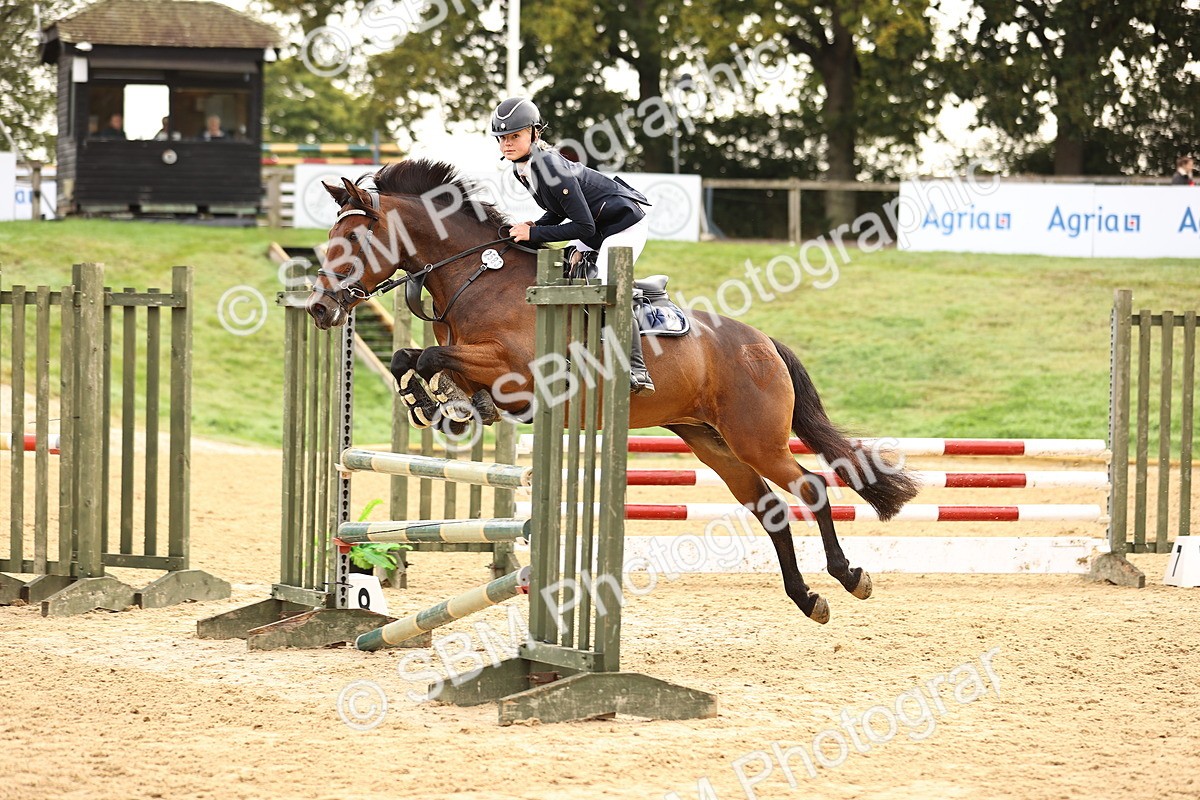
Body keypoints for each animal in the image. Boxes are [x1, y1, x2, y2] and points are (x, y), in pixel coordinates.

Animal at [307, 159, 920, 624]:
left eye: (355, 238)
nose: (318, 309)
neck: (481, 278)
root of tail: (763, 342)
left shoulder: (518, 377)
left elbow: (431, 357)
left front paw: (435, 401)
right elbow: (413, 358)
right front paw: (439, 403)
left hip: (756, 438)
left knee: (811, 487)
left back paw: (848, 577)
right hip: (711, 441)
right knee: (769, 507)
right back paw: (806, 597)